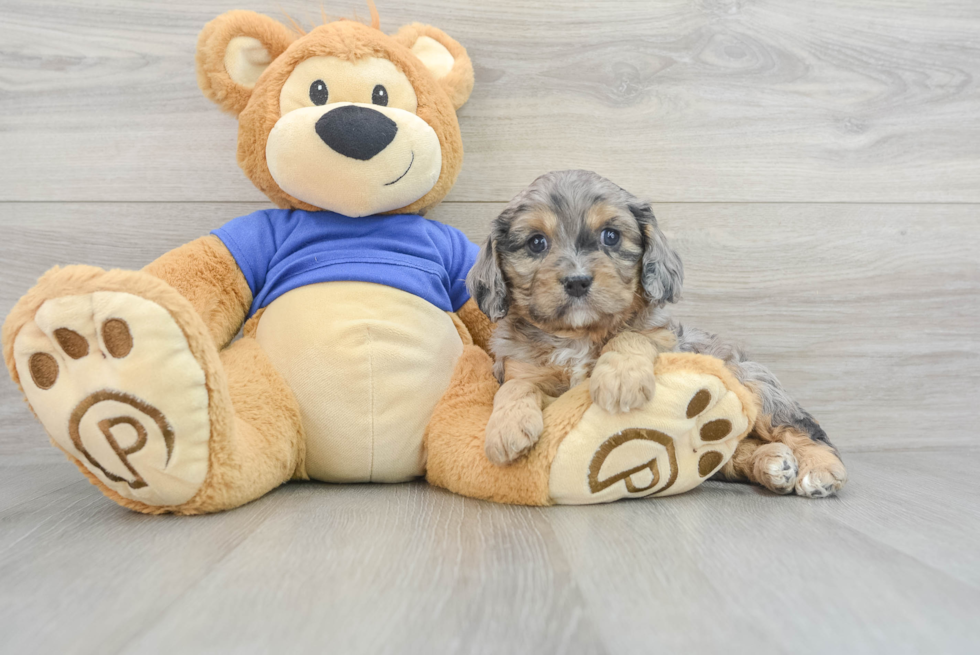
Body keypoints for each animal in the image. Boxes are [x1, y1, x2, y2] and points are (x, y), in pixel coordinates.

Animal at [464, 169, 848, 498]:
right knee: (730, 453)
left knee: (801, 428)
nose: (576, 281)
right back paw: (771, 463)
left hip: (753, 384)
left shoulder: (665, 344)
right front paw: (506, 426)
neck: (578, 334)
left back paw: (817, 469)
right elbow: (516, 386)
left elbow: (631, 336)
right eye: (536, 243)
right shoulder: (522, 368)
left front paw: (620, 379)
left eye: (611, 236)